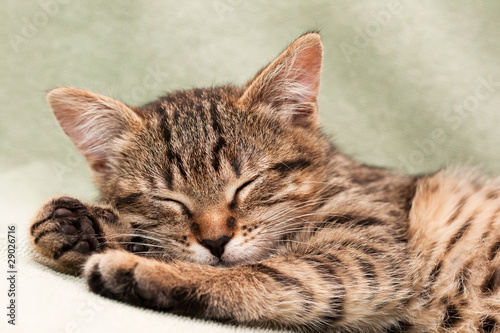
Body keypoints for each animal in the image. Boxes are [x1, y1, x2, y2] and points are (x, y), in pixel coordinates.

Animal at [30, 33, 500, 332]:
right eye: (170, 199)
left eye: (247, 183)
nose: (216, 240)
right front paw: (80, 226)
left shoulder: (371, 258)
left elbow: (264, 274)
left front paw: (140, 268)